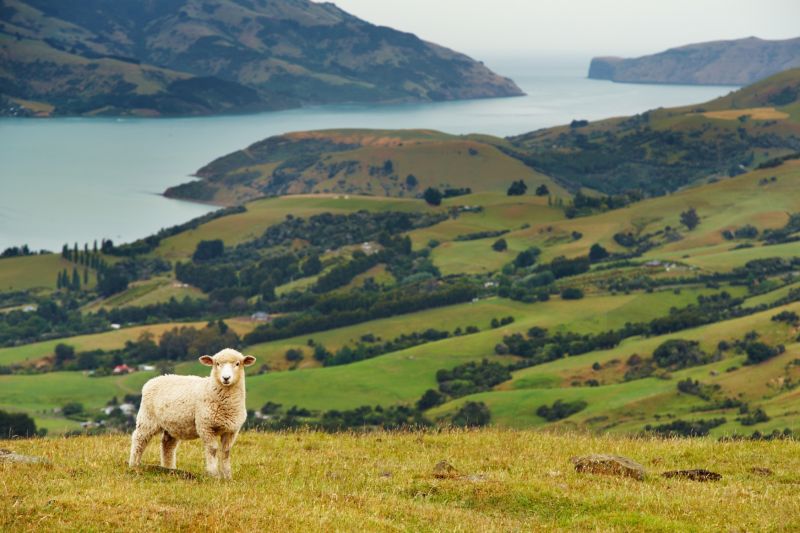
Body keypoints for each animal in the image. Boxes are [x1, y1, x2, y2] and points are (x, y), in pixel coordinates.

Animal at [128, 348, 256, 479]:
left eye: (237, 364)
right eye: (217, 364)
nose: (226, 378)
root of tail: (154, 380)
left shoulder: (231, 430)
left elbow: (226, 452)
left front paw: (227, 476)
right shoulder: (206, 426)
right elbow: (213, 449)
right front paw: (214, 475)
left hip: (172, 425)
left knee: (167, 445)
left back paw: (169, 469)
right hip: (147, 419)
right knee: (139, 439)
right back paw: (134, 465)